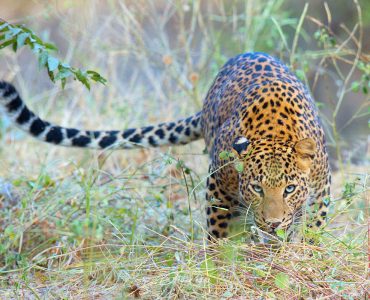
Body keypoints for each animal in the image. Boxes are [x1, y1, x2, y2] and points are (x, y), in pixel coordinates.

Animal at [0, 52, 330, 241]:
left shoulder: (321, 185)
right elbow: (218, 230)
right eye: (257, 188)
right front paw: (220, 262)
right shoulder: (218, 183)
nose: (273, 223)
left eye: (289, 189)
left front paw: (305, 250)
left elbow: (314, 224)